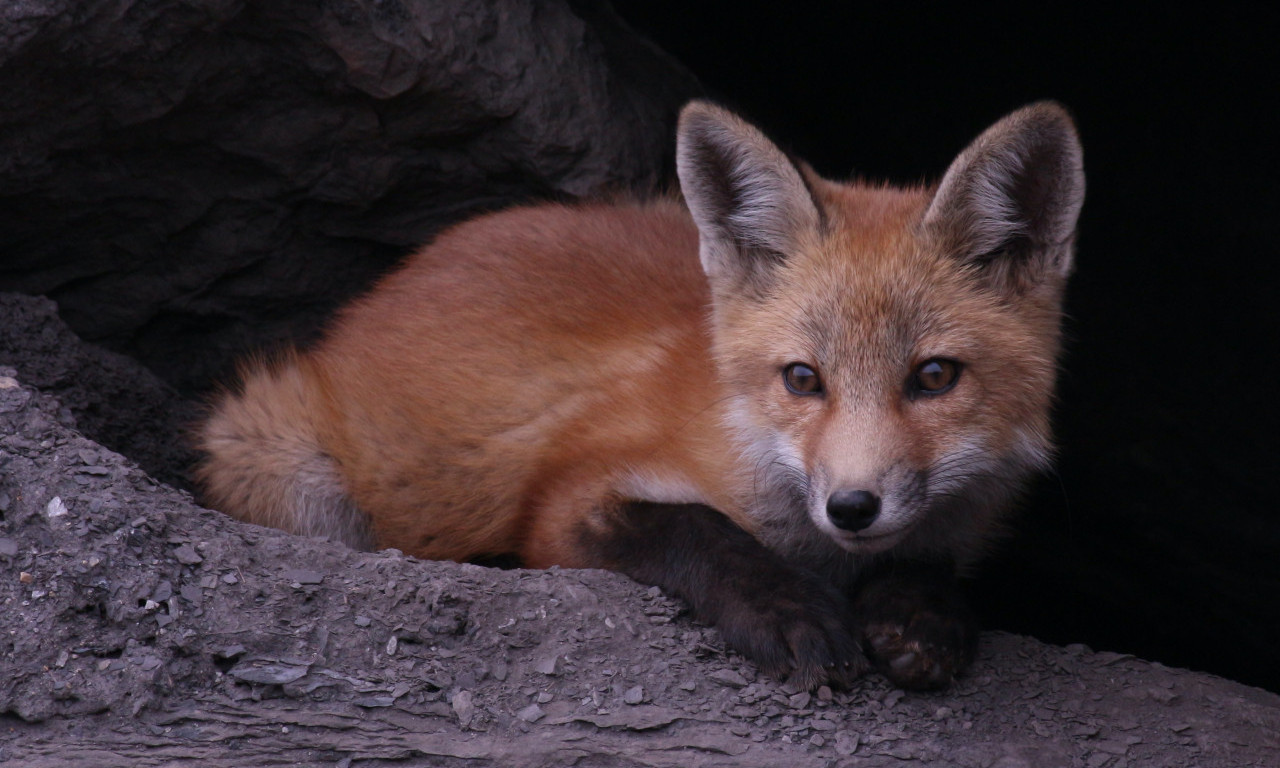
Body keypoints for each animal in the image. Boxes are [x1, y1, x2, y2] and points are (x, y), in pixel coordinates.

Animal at [194, 97, 1085, 691]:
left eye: (934, 377)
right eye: (803, 379)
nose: (853, 507)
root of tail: (394, 283)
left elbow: (929, 563)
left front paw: (921, 617)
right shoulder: (565, 498)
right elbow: (694, 529)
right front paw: (787, 610)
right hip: (275, 460)